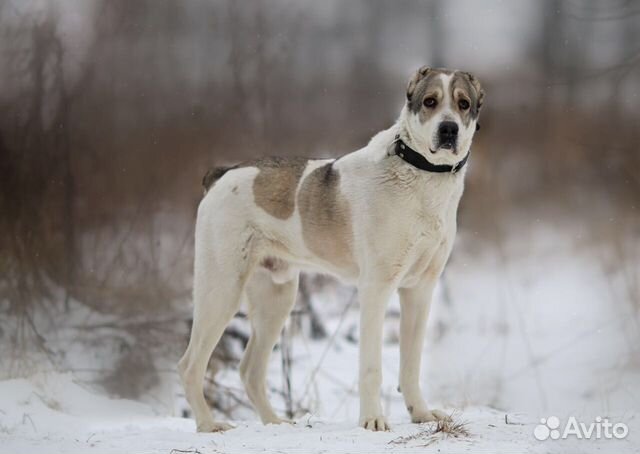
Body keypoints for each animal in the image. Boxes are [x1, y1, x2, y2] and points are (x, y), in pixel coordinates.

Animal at [178, 66, 482, 432]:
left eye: (463, 104)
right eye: (430, 102)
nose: (448, 129)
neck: (419, 172)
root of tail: (222, 174)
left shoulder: (420, 290)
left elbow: (411, 364)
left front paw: (421, 414)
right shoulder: (376, 288)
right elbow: (371, 367)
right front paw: (373, 420)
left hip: (276, 298)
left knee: (249, 370)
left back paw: (275, 423)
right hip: (221, 290)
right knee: (190, 365)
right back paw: (209, 424)